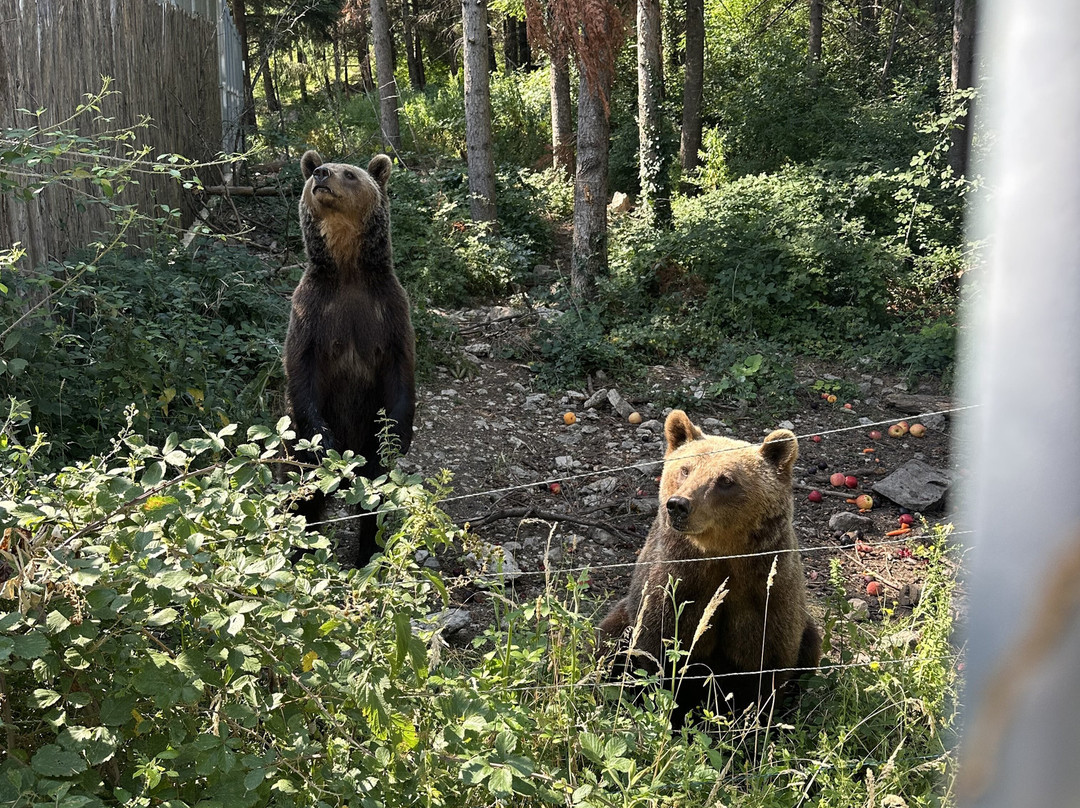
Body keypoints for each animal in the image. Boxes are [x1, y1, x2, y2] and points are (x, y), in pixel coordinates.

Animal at [283, 149, 415, 567]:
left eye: (351, 174)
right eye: (317, 171)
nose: (321, 175)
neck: (348, 271)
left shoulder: (388, 313)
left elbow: (401, 375)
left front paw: (398, 438)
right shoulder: (312, 314)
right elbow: (302, 373)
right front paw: (325, 442)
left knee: (376, 498)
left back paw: (370, 553)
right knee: (303, 499)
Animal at [598, 410, 820, 728]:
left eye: (726, 480)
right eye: (685, 469)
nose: (678, 504)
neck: (722, 554)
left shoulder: (767, 591)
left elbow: (765, 667)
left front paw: (751, 724)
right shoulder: (676, 582)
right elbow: (661, 655)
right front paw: (674, 716)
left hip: (807, 630)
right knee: (609, 640)